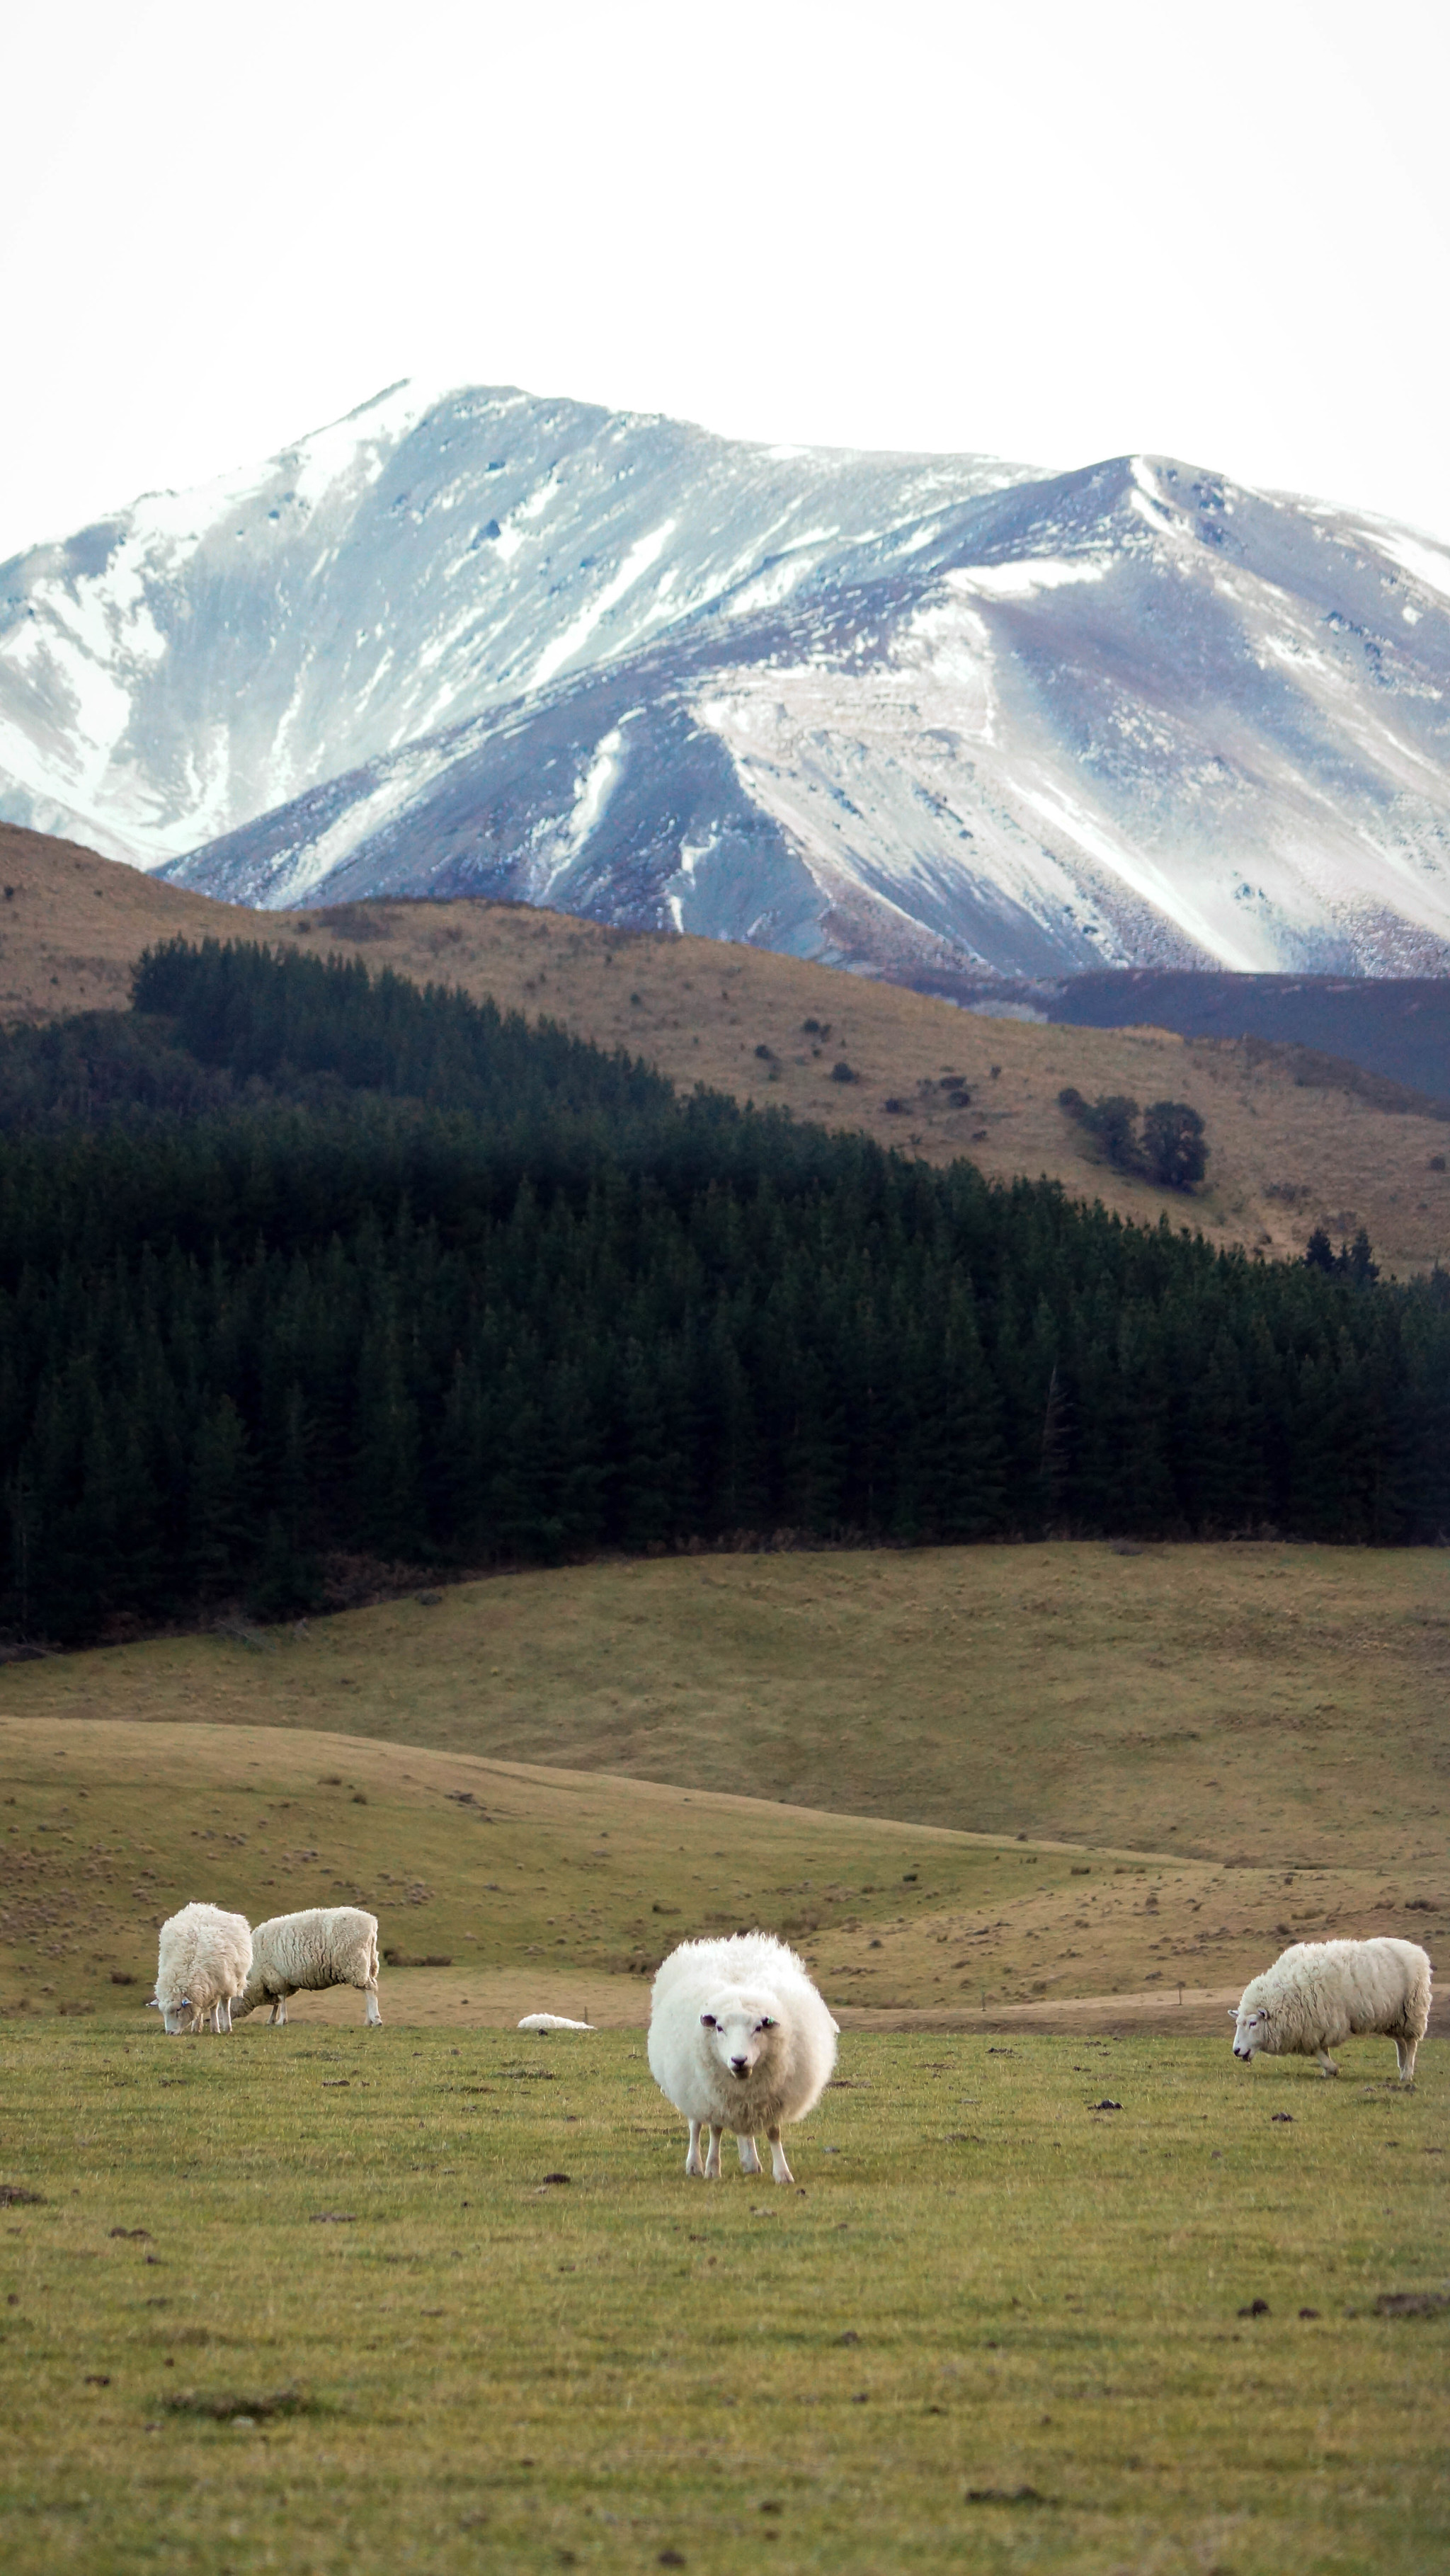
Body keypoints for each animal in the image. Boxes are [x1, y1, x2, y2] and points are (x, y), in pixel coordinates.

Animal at [152, 1896, 253, 2030]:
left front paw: (219, 2028)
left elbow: (220, 2005)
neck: (189, 1964)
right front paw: (197, 2026)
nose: (170, 2033)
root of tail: (208, 1907)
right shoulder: (206, 1985)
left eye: (179, 2009)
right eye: (163, 2013)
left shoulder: (221, 1983)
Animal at [232, 1906, 384, 2019]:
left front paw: (280, 2020)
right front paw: (272, 2020)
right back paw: (369, 2019)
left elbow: (281, 1999)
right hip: (368, 1964)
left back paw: (375, 2020)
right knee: (371, 1988)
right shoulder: (278, 1981)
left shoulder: (274, 1977)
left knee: (369, 1989)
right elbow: (277, 2002)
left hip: (354, 1963)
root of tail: (371, 1921)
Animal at [649, 1926, 839, 2184]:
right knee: (695, 2125)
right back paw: (695, 2165)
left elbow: (773, 2132)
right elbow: (715, 2130)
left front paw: (782, 2173)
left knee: (744, 2128)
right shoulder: (715, 2097)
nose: (739, 2060)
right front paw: (713, 2169)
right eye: (719, 2028)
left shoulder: (772, 2096)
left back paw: (750, 2162)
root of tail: (726, 1943)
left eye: (759, 2027)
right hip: (691, 2088)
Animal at [1231, 1937, 1432, 2081]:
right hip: (1394, 2017)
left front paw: (1332, 2069)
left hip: (1412, 2009)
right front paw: (1328, 2071)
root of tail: (1416, 1949)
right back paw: (1402, 2068)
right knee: (1401, 2042)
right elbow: (1321, 2050)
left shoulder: (1322, 2023)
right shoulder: (1317, 2024)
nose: (1236, 2051)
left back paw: (1407, 2073)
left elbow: (1318, 2051)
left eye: (1253, 2023)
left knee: (1411, 2043)